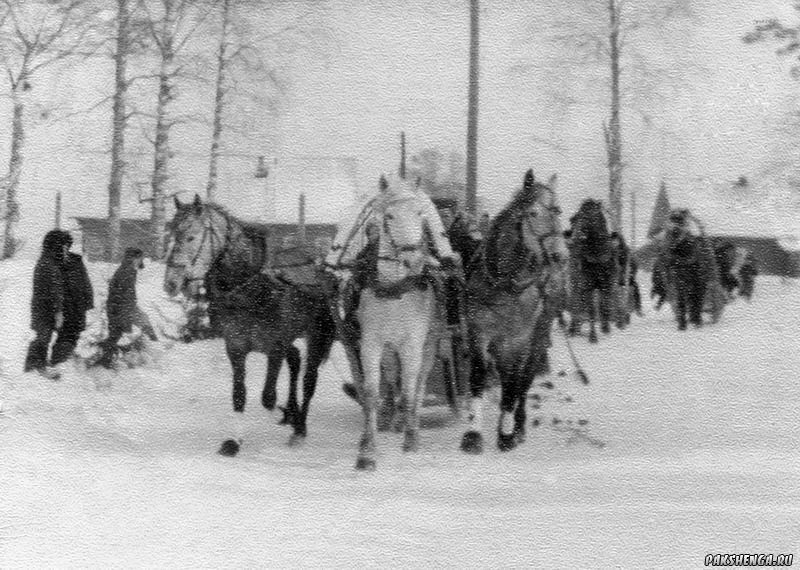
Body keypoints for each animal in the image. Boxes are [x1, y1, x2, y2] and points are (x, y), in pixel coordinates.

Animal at [164, 194, 336, 452]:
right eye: (172, 234)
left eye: (192, 236)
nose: (171, 283)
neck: (250, 285)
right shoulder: (235, 347)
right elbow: (239, 394)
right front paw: (235, 441)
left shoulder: (275, 347)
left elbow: (268, 397)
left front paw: (288, 415)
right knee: (295, 359)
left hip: (316, 335)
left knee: (308, 380)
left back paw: (300, 427)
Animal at [350, 175, 456, 468]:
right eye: (389, 216)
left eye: (420, 213)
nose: (413, 259)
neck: (394, 288)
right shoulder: (371, 344)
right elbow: (371, 393)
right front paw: (367, 451)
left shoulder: (412, 345)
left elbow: (409, 392)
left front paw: (410, 441)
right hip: (388, 350)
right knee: (390, 379)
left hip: (430, 345)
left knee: (418, 386)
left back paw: (411, 425)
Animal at [460, 169, 564, 452]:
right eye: (533, 213)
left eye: (558, 211)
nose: (561, 256)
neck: (503, 286)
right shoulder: (478, 333)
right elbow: (478, 376)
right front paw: (472, 435)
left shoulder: (518, 340)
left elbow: (512, 384)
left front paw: (506, 435)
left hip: (537, 337)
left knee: (523, 381)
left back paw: (517, 427)